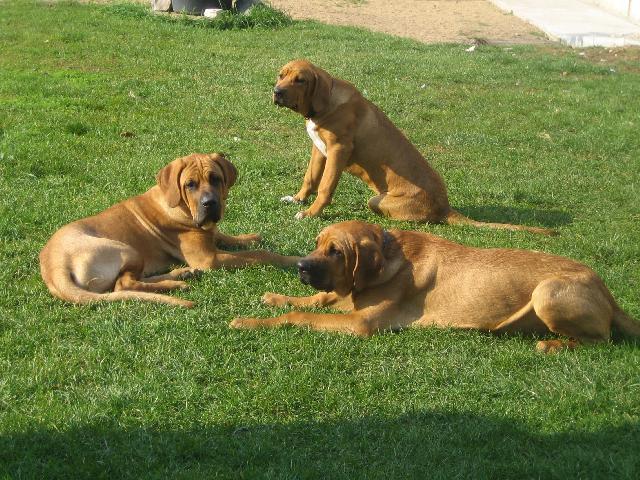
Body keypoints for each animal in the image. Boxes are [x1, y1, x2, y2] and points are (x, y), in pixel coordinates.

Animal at [40, 153, 300, 308]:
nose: (210, 203)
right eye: (190, 185)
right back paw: (176, 283)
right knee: (124, 284)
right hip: (127, 249)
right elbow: (259, 255)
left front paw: (249, 237)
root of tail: (54, 267)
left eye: (215, 178)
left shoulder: (209, 236)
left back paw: (182, 274)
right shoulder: (208, 259)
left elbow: (222, 235)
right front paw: (287, 259)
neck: (181, 207)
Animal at [231, 219, 640, 350]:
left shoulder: (360, 323)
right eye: (317, 244)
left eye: (336, 252)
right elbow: (315, 299)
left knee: (601, 339)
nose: (301, 266)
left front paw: (250, 321)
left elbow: (301, 314)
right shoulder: (349, 298)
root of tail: (606, 290)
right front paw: (275, 296)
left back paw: (552, 345)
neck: (390, 255)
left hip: (546, 293)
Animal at [276, 60, 556, 236]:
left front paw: (311, 213)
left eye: (300, 80)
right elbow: (311, 178)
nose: (277, 92)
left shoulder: (338, 150)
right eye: (281, 75)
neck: (321, 106)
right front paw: (298, 199)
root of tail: (444, 207)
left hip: (377, 199)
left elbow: (325, 186)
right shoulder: (319, 149)